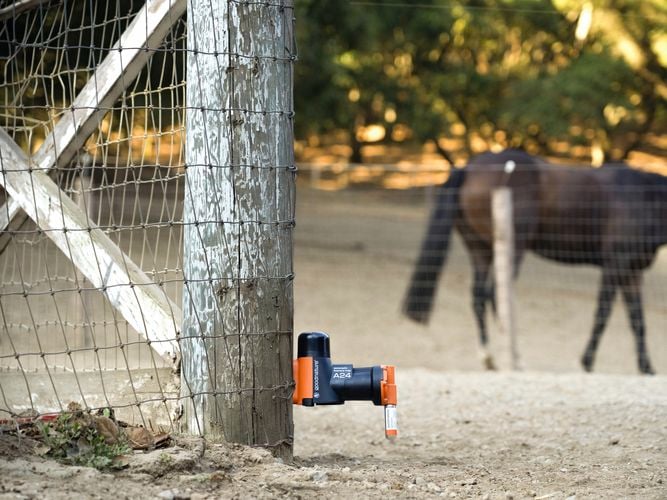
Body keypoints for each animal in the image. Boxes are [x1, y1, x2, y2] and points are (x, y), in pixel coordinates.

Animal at [403, 149, 667, 375]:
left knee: (478, 298)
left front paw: (647, 368)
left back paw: (489, 358)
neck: (644, 197)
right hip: (512, 251)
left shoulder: (633, 272)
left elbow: (638, 320)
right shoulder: (615, 265)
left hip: (480, 251)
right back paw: (515, 360)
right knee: (495, 297)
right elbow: (603, 314)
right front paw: (587, 362)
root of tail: (468, 167)